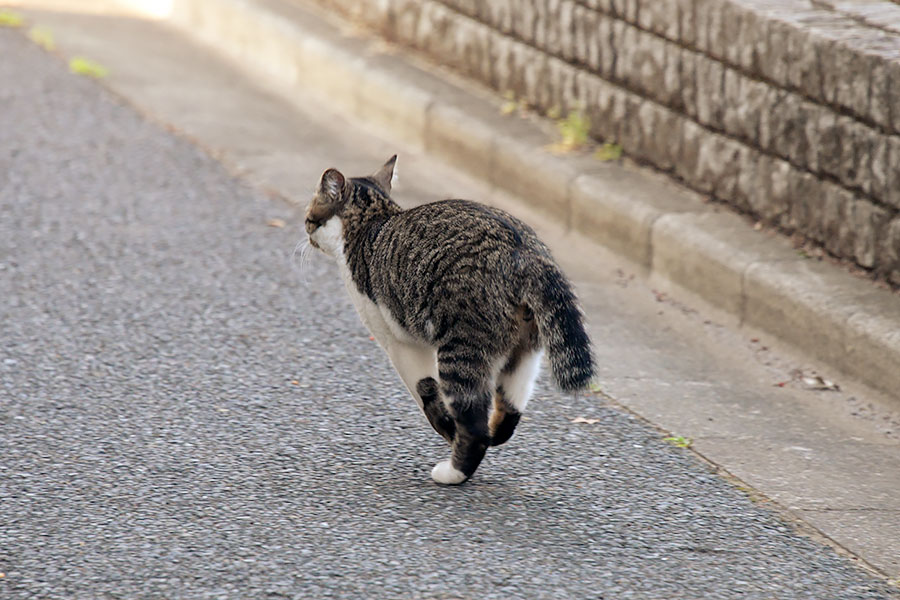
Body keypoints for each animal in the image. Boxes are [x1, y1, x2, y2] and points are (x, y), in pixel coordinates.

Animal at [306, 157, 596, 486]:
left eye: (310, 218)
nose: (307, 231)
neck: (371, 223)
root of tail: (522, 252)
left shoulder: (400, 343)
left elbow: (426, 393)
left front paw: (447, 429)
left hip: (461, 349)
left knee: (475, 427)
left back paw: (453, 471)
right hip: (525, 349)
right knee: (509, 411)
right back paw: (493, 432)